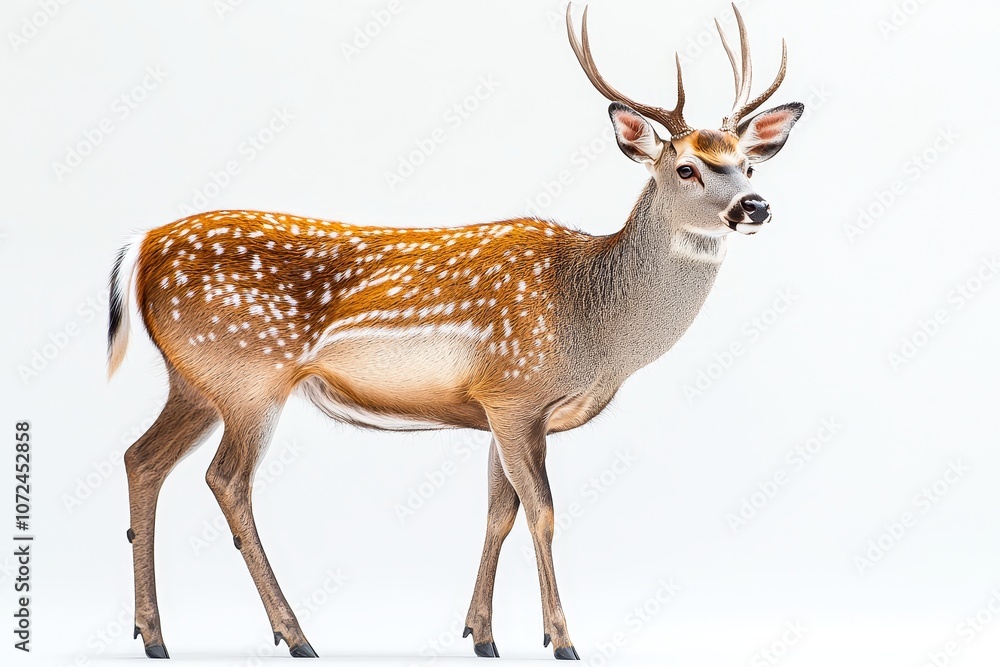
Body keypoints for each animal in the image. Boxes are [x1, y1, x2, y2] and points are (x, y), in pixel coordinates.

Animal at [108, 3, 803, 660]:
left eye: (747, 165)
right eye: (685, 167)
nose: (755, 206)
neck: (593, 328)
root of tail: (140, 248)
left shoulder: (497, 408)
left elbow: (499, 513)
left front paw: (482, 634)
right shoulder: (516, 392)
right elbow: (543, 513)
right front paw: (562, 639)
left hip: (196, 381)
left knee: (141, 458)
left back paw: (153, 635)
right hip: (249, 376)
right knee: (226, 480)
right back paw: (295, 634)